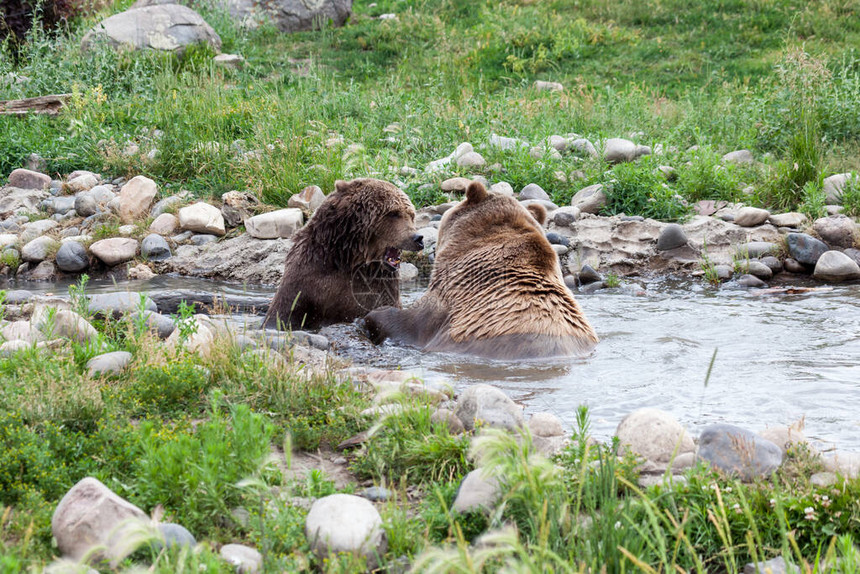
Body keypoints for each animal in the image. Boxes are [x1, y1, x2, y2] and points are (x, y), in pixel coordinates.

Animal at [262, 180, 424, 332]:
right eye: (393, 213)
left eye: (411, 215)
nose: (418, 238)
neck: (349, 258)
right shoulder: (305, 277)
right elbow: (284, 313)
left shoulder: (380, 289)